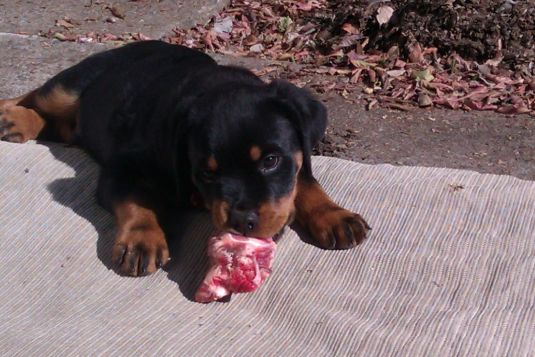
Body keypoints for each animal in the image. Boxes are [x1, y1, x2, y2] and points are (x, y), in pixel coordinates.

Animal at [0, 41, 370, 276]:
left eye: (270, 161)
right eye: (206, 173)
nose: (242, 222)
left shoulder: (298, 153)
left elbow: (305, 181)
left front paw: (333, 215)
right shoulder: (122, 168)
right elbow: (136, 200)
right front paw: (142, 239)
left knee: (55, 123)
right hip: (70, 87)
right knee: (33, 96)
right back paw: (11, 116)